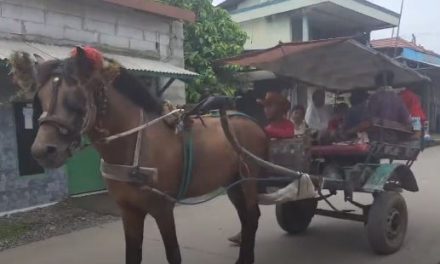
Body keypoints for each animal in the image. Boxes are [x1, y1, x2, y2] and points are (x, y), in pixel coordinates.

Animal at [11, 47, 268, 264]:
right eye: (40, 99)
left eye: (75, 99)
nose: (42, 151)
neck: (135, 144)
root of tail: (251, 121)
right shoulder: (128, 210)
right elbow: (133, 254)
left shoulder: (163, 208)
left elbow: (173, 254)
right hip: (233, 182)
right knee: (245, 217)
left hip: (249, 178)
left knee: (253, 216)